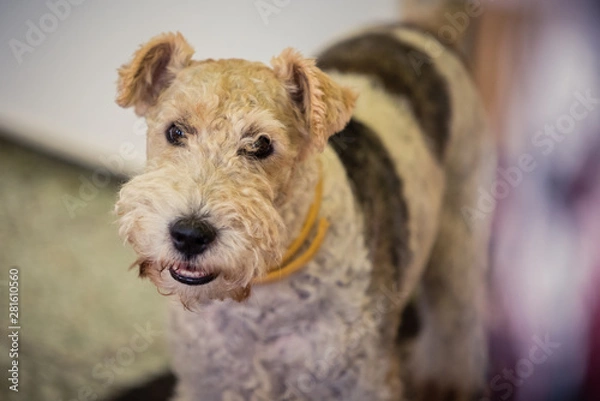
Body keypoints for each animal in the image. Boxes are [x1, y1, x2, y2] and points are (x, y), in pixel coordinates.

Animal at [115, 25, 494, 400]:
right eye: (175, 131)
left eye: (261, 144)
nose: (190, 235)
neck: (259, 294)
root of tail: (414, 30)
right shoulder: (206, 381)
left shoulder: (361, 382)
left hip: (454, 237)